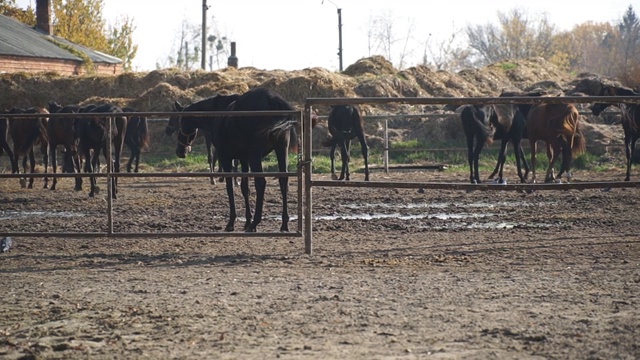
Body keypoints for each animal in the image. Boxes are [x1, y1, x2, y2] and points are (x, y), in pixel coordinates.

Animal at [175, 88, 300, 232]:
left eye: (180, 121)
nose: (180, 151)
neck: (218, 112)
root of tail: (271, 98)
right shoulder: (244, 159)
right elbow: (245, 188)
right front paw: (247, 220)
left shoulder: (226, 158)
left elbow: (230, 188)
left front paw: (232, 222)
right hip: (281, 150)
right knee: (283, 182)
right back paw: (284, 224)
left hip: (256, 155)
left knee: (261, 183)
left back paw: (255, 223)